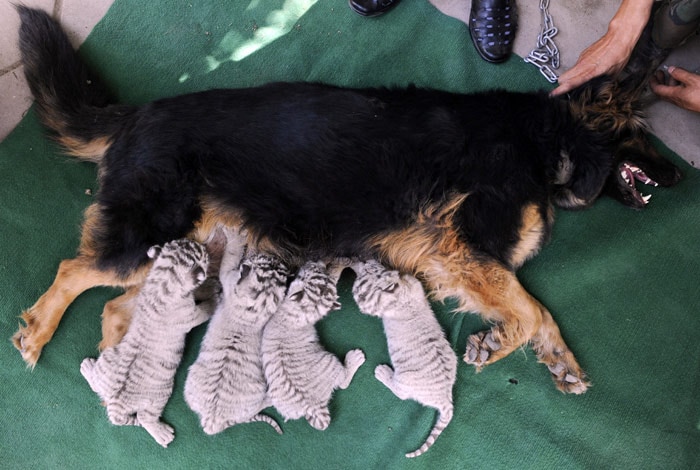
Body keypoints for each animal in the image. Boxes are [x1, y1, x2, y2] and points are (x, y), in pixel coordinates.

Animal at [9, 7, 680, 392]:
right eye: (646, 136)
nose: (679, 175)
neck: (545, 141)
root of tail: (136, 114)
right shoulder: (464, 250)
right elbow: (533, 308)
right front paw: (499, 345)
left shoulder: (466, 260)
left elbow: (540, 313)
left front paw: (560, 360)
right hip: (148, 233)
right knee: (74, 271)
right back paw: (39, 334)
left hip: (184, 252)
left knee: (114, 308)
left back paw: (118, 365)